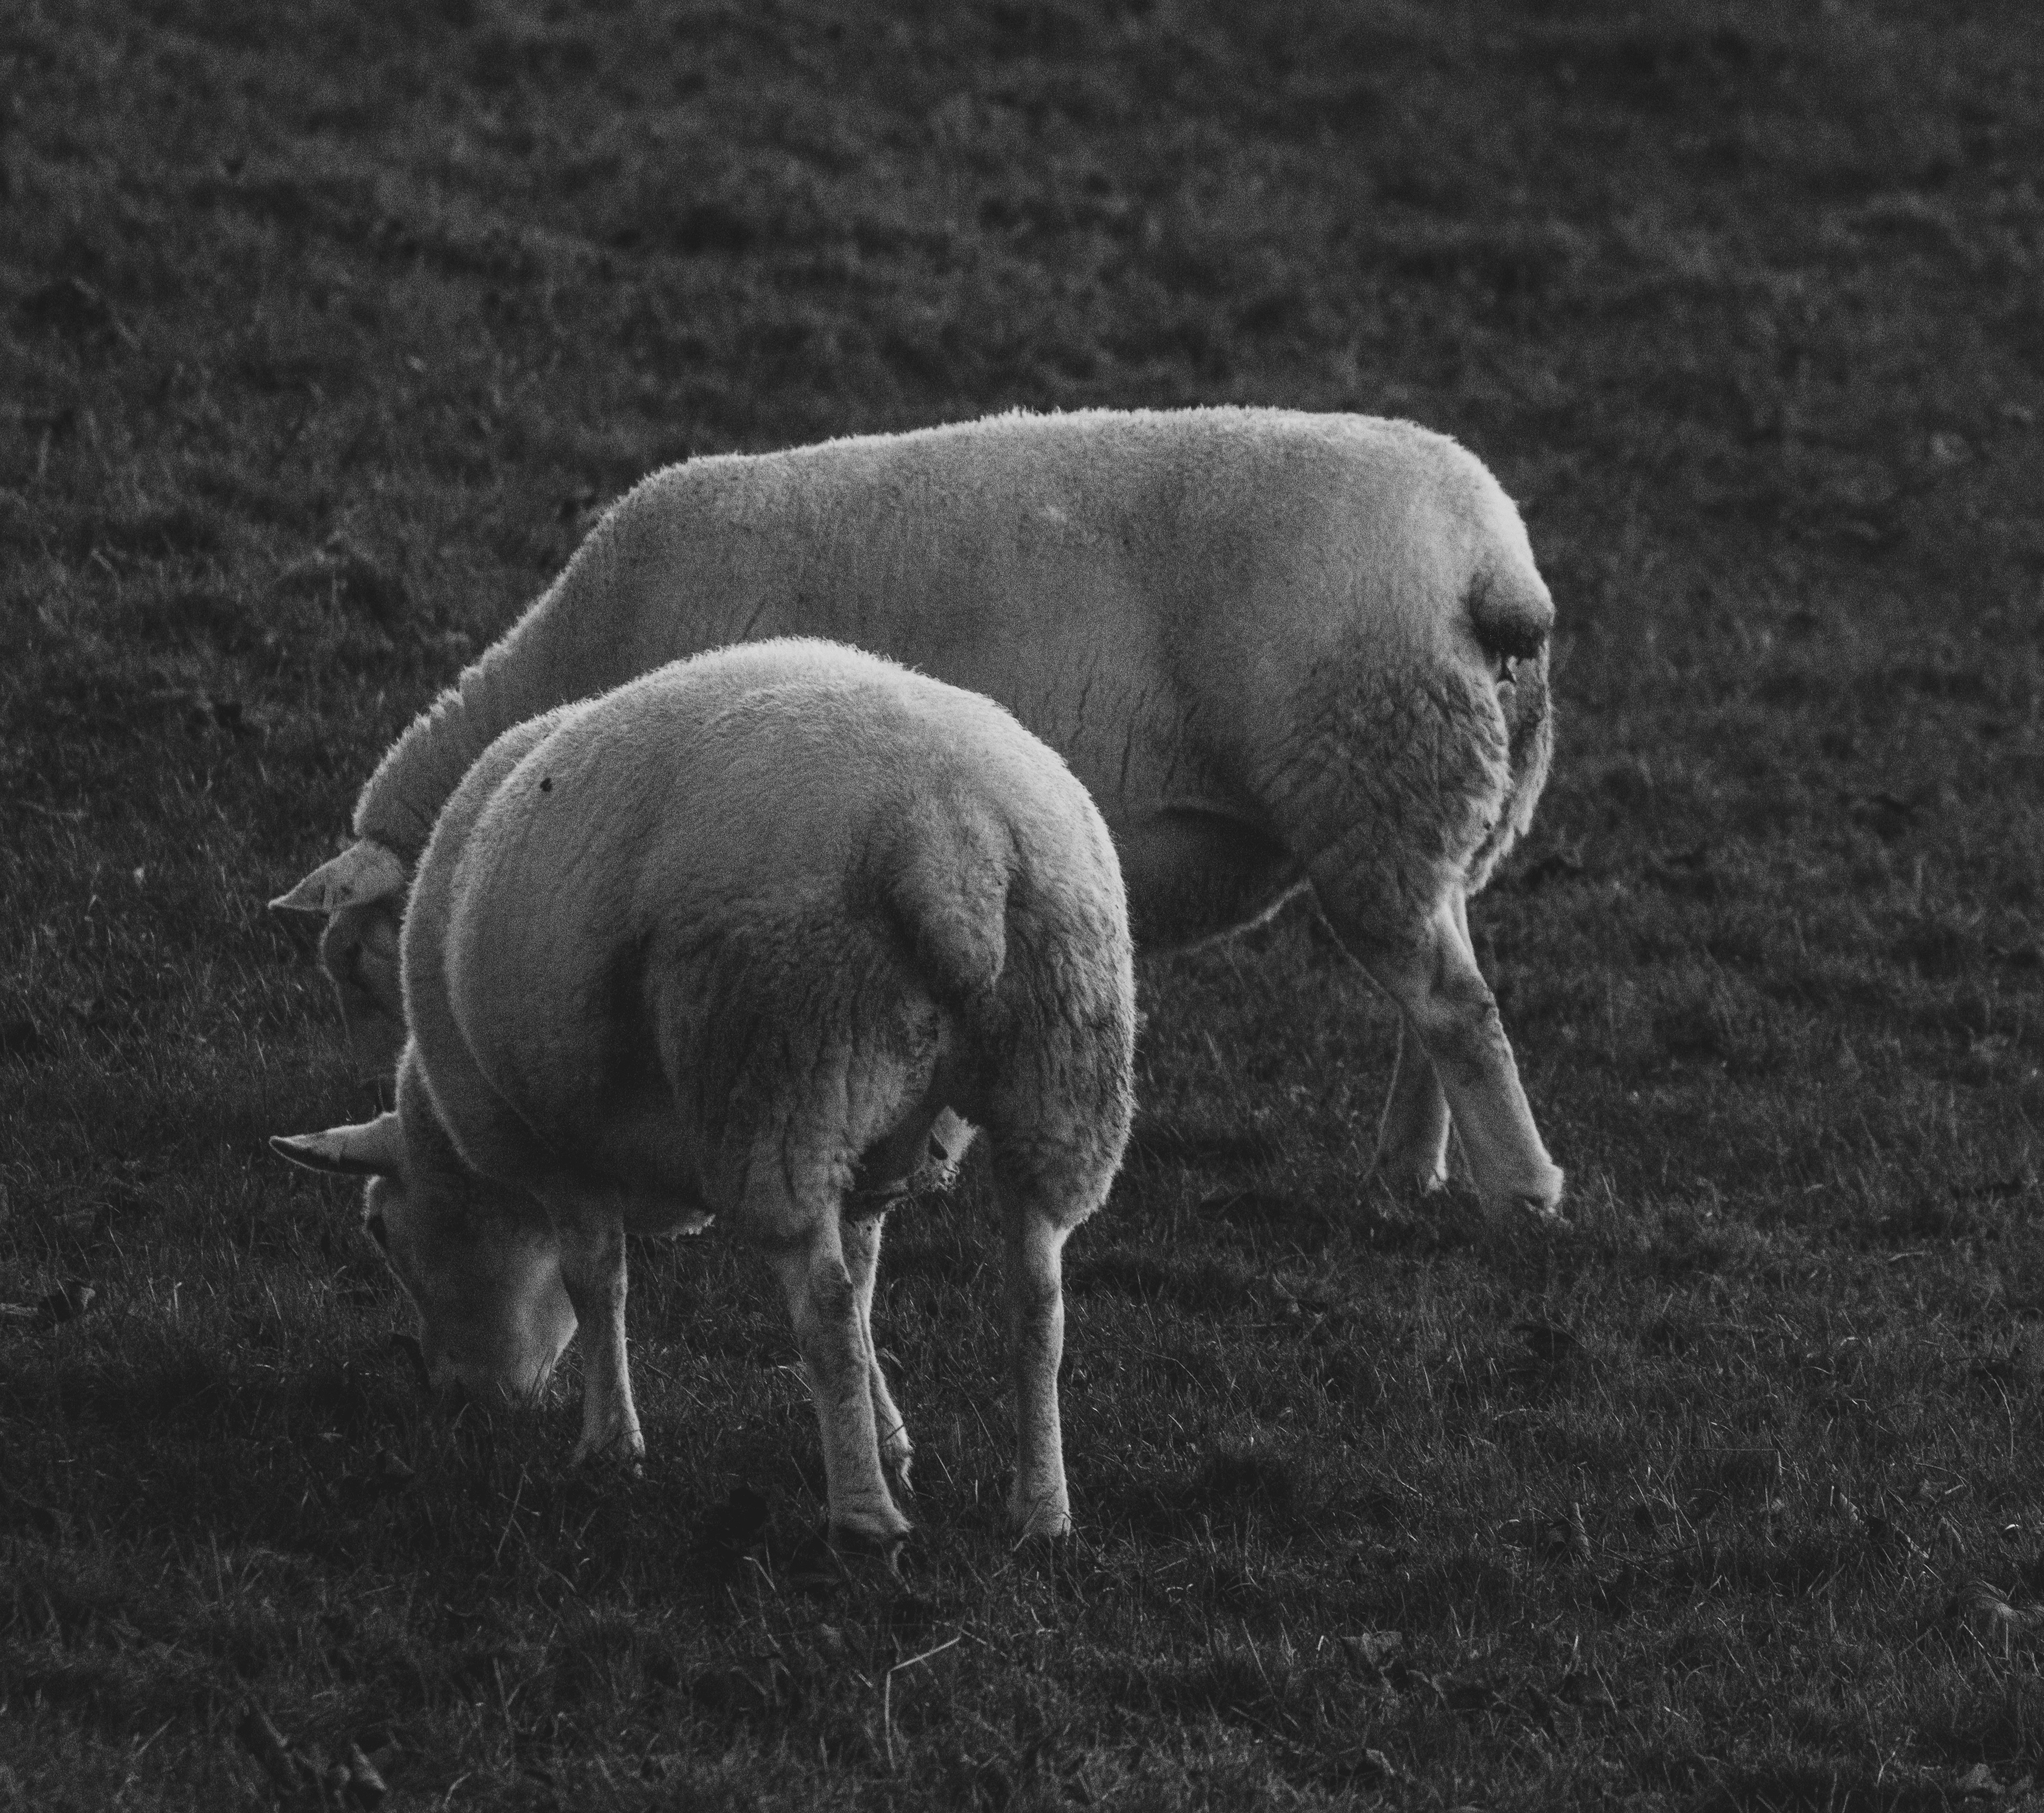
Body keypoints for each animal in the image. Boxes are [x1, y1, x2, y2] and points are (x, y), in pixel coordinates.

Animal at [273, 639, 1135, 1548]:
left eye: (381, 1231)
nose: (461, 1401)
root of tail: (949, 846)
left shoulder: (554, 1151)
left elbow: (598, 1281)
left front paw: (609, 1448)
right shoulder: (870, 1160)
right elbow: (870, 1291)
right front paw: (893, 1437)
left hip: (783, 1063)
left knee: (825, 1306)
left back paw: (864, 1516)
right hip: (1056, 1069)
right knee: (1036, 1297)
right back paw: (1041, 1511)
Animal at [276, 406, 1561, 1214]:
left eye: (360, 964)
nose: (424, 1099)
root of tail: (1492, 566)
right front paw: (935, 1155)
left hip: (1373, 782)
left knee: (1456, 1011)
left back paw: (1520, 1192)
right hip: (1430, 809)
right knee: (1438, 999)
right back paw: (1409, 1167)